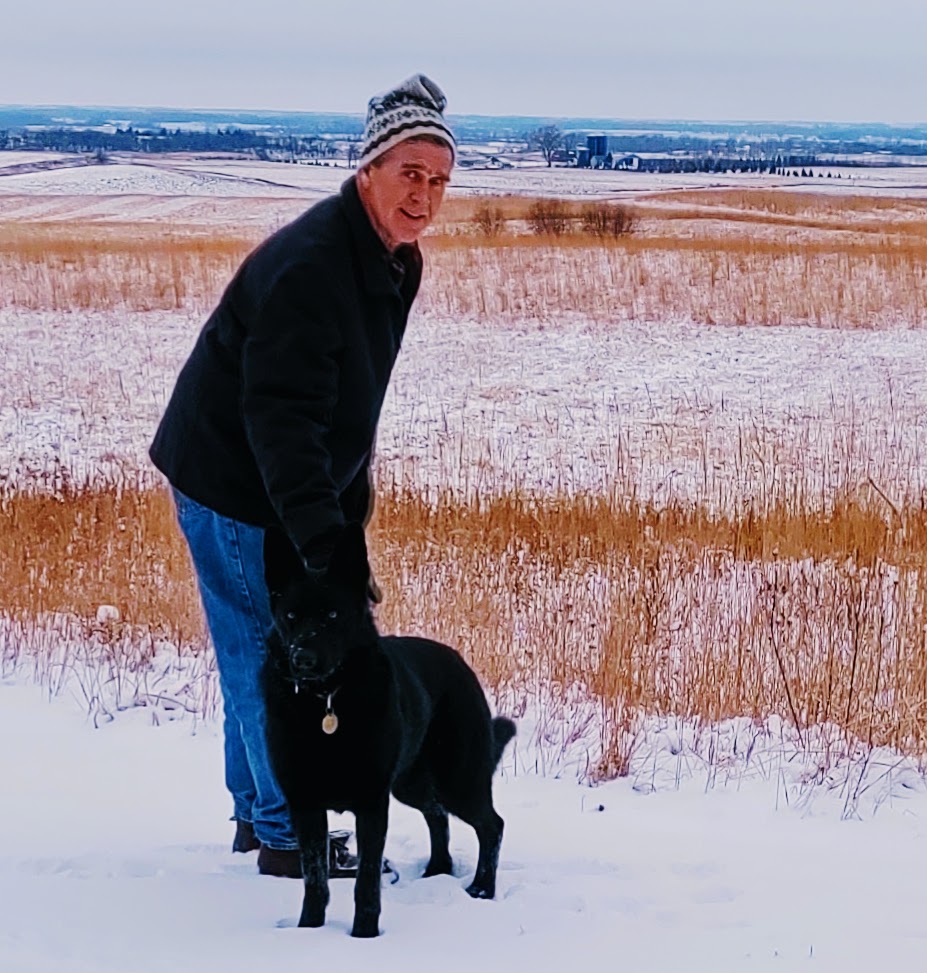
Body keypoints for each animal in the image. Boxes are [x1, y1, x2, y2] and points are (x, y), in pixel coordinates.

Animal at [261, 522, 516, 938]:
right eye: (291, 615)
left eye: (333, 614)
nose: (303, 660)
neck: (326, 701)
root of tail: (458, 661)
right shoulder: (305, 804)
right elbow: (315, 880)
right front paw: (308, 933)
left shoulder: (371, 802)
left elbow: (366, 882)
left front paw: (363, 936)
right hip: (411, 783)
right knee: (438, 815)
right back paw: (438, 869)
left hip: (456, 780)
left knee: (491, 824)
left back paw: (481, 887)